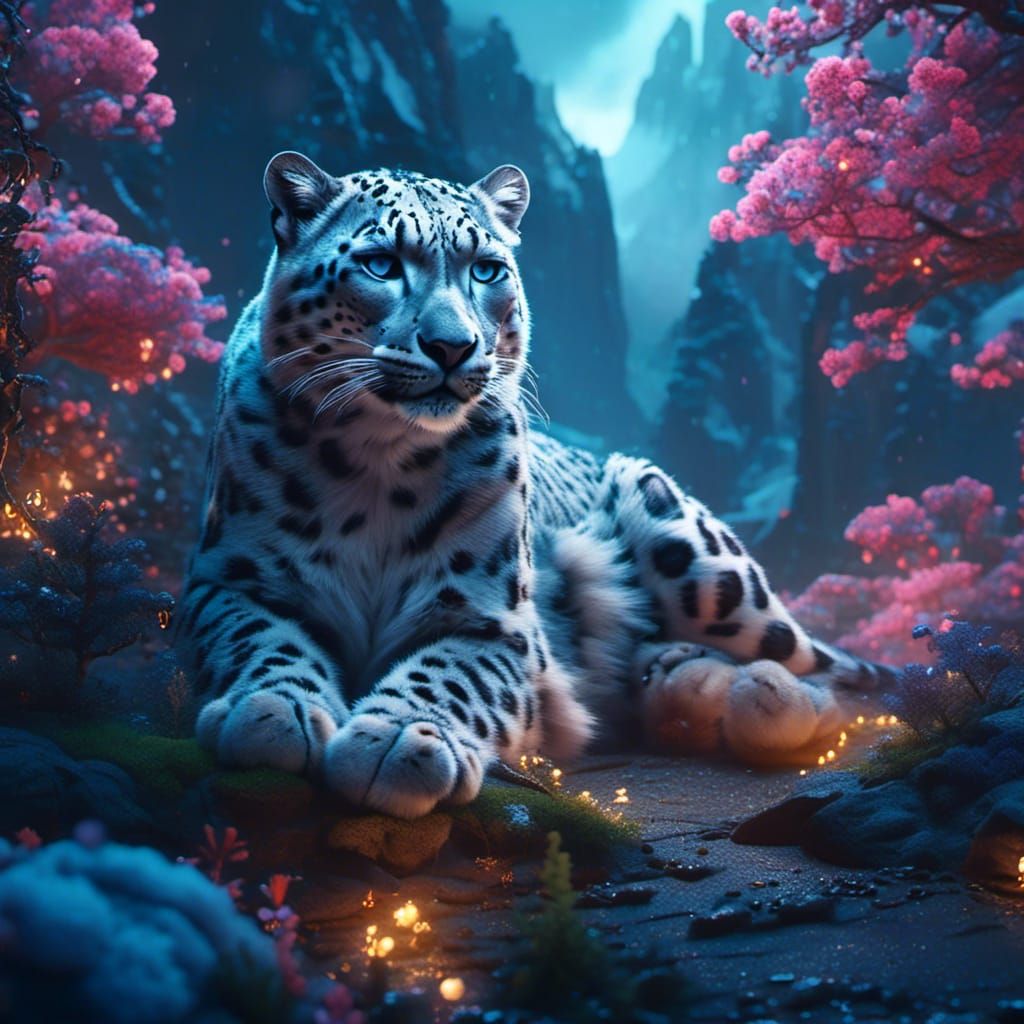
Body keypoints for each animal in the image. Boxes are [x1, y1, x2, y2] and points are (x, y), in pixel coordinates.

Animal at [178, 151, 892, 819]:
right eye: (381, 264)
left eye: (486, 269)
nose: (452, 345)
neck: (377, 463)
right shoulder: (231, 579)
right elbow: (260, 639)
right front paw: (271, 711)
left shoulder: (494, 620)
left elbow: (448, 674)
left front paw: (401, 739)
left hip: (702, 560)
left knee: (834, 673)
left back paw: (775, 701)